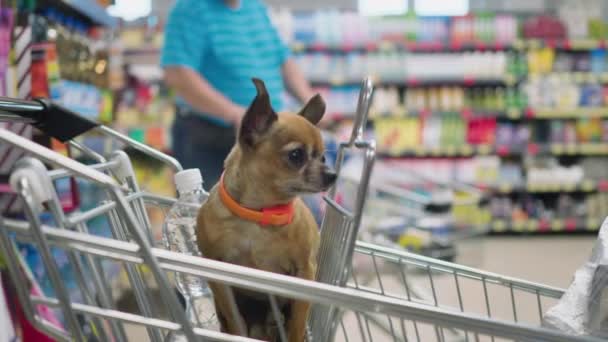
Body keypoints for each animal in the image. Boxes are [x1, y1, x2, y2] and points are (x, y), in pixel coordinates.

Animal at [196, 78, 334, 342]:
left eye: (323, 157)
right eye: (296, 155)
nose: (333, 174)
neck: (258, 214)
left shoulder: (304, 271)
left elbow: (297, 324)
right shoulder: (220, 279)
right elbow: (236, 321)